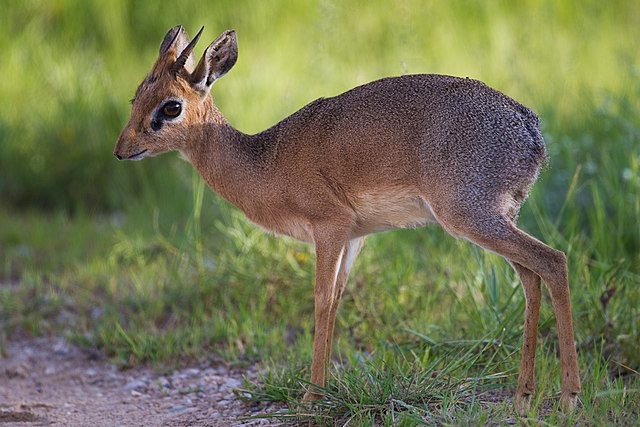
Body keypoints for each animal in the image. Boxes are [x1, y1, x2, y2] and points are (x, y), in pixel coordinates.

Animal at [114, 25, 580, 412]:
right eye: (137, 96)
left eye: (171, 107)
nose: (122, 150)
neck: (265, 161)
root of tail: (529, 127)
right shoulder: (356, 236)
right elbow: (337, 299)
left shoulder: (329, 227)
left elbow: (321, 300)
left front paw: (311, 397)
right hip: (496, 218)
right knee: (531, 276)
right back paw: (523, 398)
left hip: (471, 217)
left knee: (553, 261)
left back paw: (569, 398)